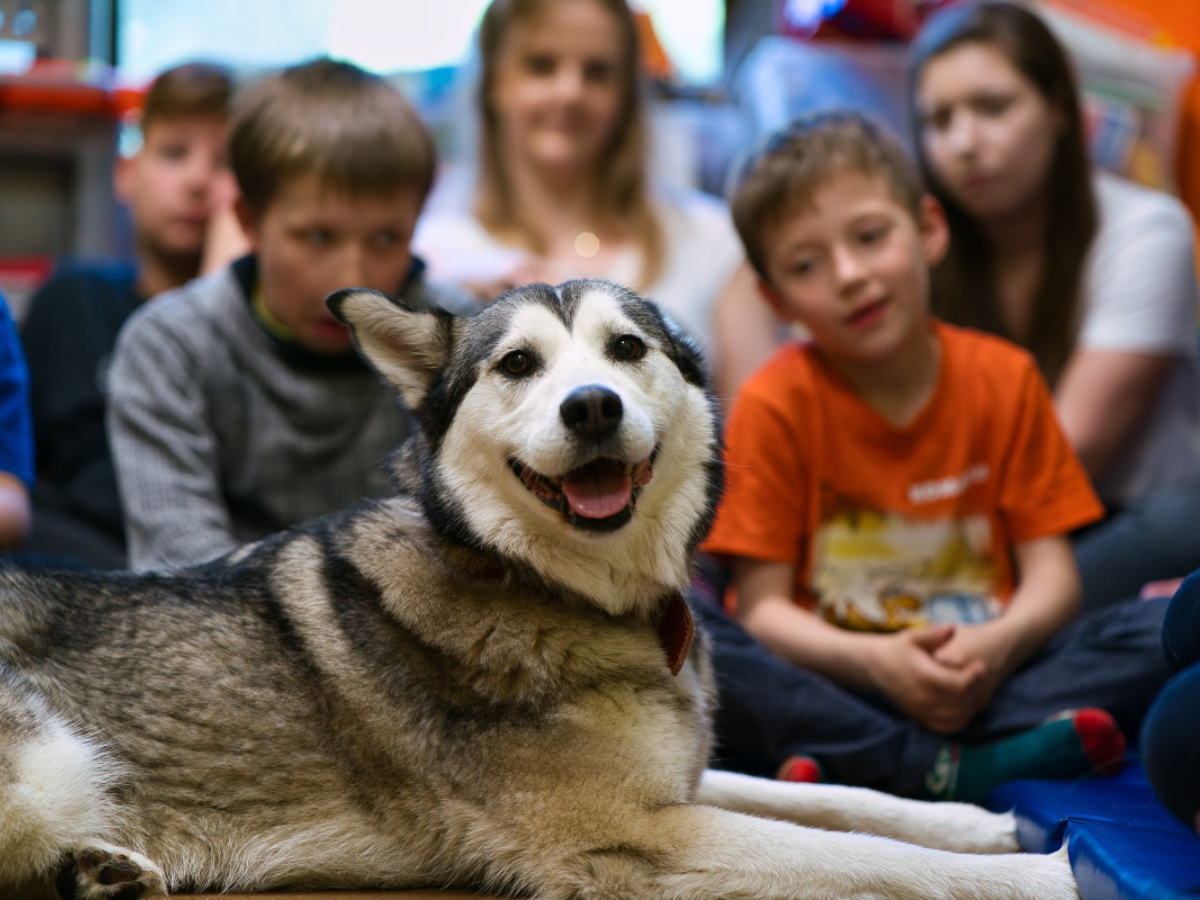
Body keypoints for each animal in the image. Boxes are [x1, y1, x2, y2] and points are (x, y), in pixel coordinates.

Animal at [0, 283, 1075, 900]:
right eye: (518, 364)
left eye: (628, 350)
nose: (590, 405)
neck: (558, 588)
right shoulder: (631, 836)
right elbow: (873, 861)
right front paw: (1044, 872)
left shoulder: (675, 783)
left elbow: (844, 802)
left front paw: (979, 820)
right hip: (53, 767)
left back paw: (103, 873)